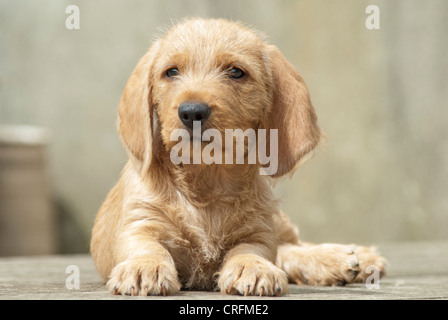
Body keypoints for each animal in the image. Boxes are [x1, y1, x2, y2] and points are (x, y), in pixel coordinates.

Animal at [90, 18, 384, 296]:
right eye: (171, 72)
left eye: (236, 72)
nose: (192, 112)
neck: (206, 179)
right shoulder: (140, 221)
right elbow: (146, 246)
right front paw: (144, 267)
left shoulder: (259, 230)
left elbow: (252, 249)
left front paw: (252, 268)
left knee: (291, 244)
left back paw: (350, 257)